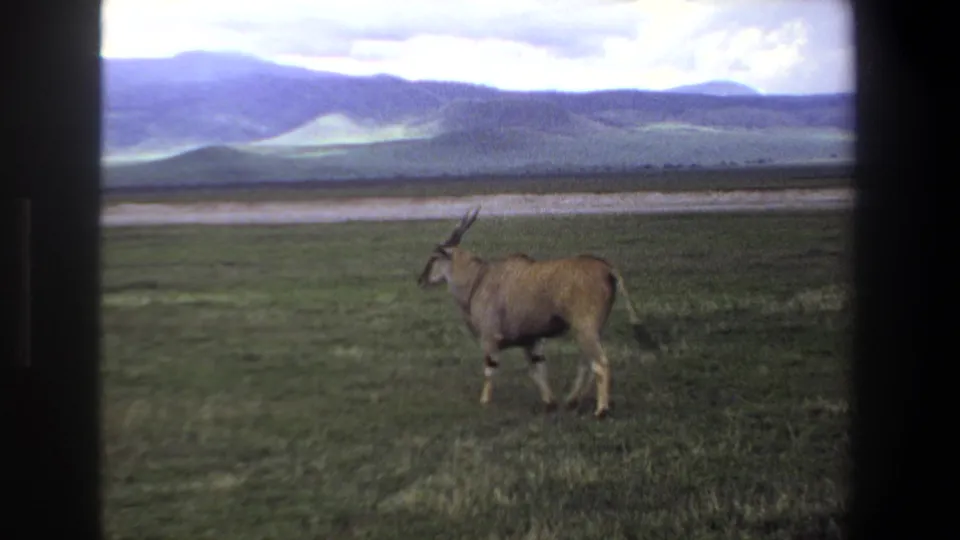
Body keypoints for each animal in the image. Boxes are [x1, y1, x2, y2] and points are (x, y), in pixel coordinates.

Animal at [416, 206, 658, 419]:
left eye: (434, 257)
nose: (421, 280)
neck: (478, 279)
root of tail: (607, 268)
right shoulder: (531, 341)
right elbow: (537, 369)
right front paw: (550, 403)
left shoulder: (490, 338)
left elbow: (490, 369)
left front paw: (485, 402)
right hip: (588, 331)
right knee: (587, 363)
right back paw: (572, 400)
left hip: (584, 329)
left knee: (600, 364)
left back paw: (601, 410)